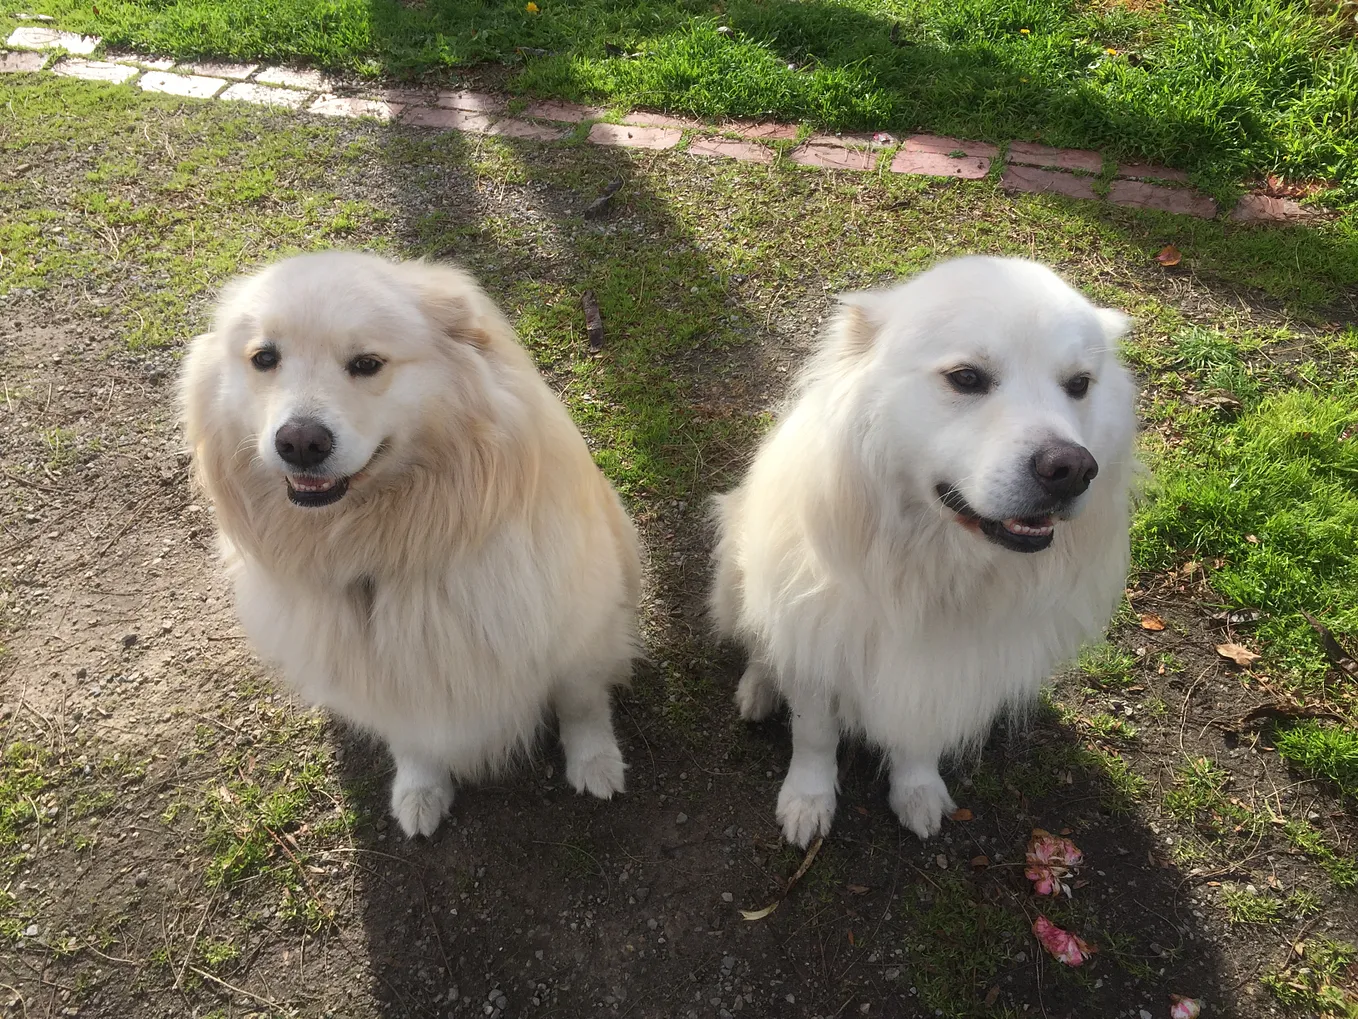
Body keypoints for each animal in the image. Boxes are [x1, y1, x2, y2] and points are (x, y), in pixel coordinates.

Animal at [180, 254, 640, 836]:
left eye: (367, 363)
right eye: (265, 358)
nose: (300, 443)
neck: (385, 546)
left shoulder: (578, 630)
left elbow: (582, 704)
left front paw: (596, 764)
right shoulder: (388, 680)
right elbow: (413, 741)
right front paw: (421, 793)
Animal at [711, 259, 1135, 847]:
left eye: (1079, 385)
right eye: (966, 378)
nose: (1072, 468)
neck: (936, 569)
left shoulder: (943, 676)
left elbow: (918, 742)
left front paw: (917, 793)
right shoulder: (816, 647)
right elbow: (814, 735)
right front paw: (807, 802)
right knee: (758, 642)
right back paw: (758, 688)